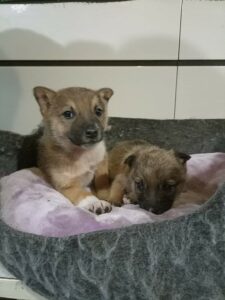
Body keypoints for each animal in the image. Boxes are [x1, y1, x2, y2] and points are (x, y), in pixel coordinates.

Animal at [33, 85, 112, 214]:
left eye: (98, 111)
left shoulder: (101, 165)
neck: (83, 153)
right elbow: (82, 193)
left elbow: (103, 182)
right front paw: (95, 202)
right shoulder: (66, 185)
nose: (93, 132)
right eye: (68, 114)